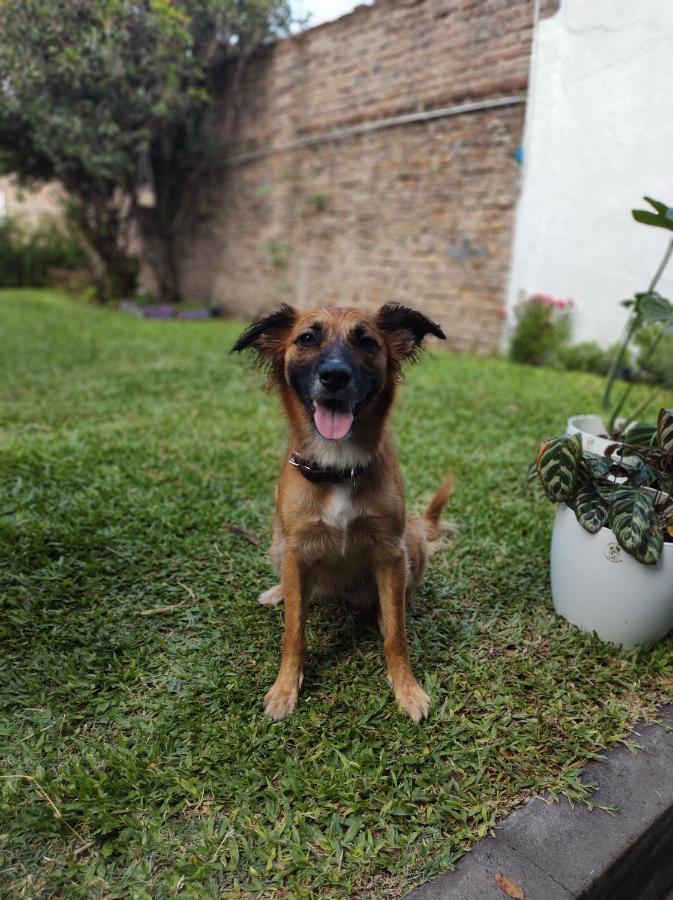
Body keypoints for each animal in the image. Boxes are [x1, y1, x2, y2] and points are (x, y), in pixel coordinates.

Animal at [232, 306, 452, 720]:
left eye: (367, 342)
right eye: (306, 338)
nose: (334, 376)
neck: (337, 466)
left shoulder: (390, 550)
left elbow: (397, 636)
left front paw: (407, 688)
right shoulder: (295, 549)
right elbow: (293, 634)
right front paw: (285, 688)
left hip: (411, 541)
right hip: (277, 542)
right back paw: (278, 592)